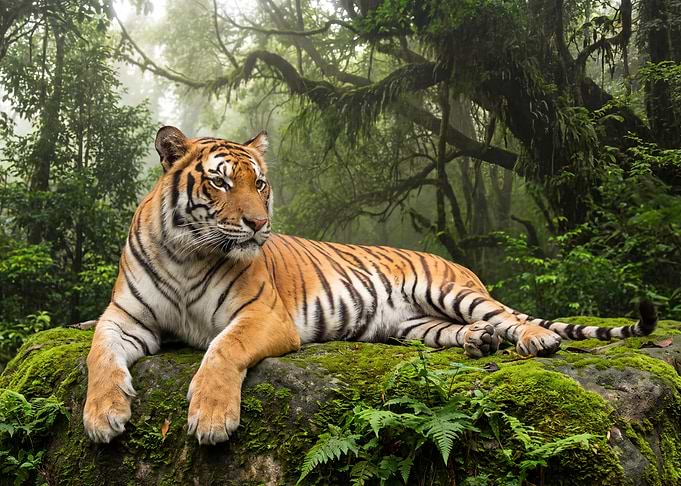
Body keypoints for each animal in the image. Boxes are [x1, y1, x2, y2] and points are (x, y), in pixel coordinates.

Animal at [84, 126, 658, 445]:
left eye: (260, 183)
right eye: (220, 182)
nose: (258, 225)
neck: (187, 253)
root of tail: (453, 262)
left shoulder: (261, 316)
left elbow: (222, 349)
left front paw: (210, 417)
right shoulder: (126, 318)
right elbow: (99, 352)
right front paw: (103, 415)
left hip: (450, 291)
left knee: (508, 315)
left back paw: (535, 339)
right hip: (418, 326)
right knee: (463, 330)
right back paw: (480, 342)